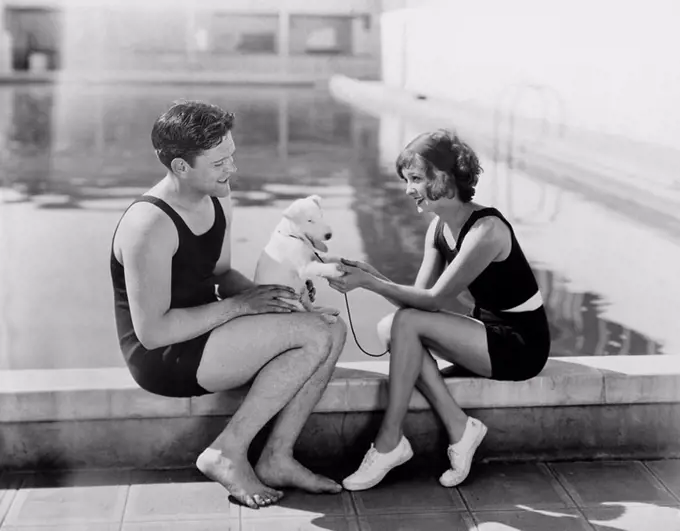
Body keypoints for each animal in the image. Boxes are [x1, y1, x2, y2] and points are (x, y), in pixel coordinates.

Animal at [252, 194, 342, 322]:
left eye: (321, 216)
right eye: (309, 220)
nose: (329, 235)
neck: (292, 236)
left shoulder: (312, 257)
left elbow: (324, 260)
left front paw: (340, 261)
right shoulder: (304, 267)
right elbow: (320, 267)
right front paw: (335, 269)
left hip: (303, 292)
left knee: (310, 308)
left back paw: (327, 310)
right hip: (293, 302)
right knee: (306, 311)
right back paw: (328, 317)